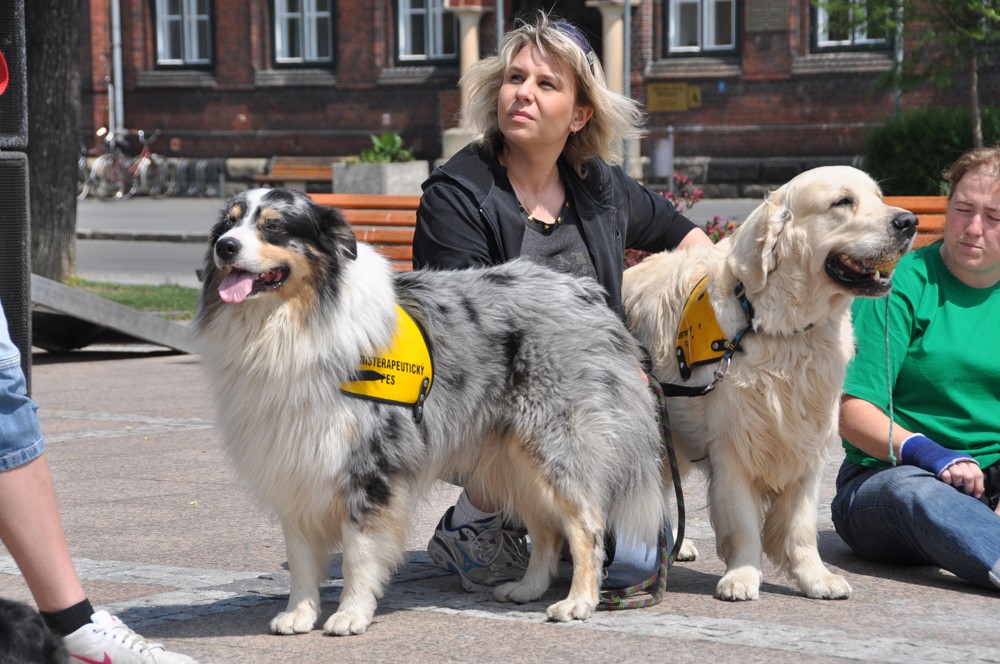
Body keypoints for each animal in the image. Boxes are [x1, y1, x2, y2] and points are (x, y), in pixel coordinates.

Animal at [620, 166, 916, 600]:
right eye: (842, 201)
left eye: (879, 198)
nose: (909, 222)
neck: (782, 328)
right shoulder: (734, 443)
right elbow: (743, 521)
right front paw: (742, 576)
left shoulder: (808, 439)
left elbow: (802, 526)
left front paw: (816, 578)